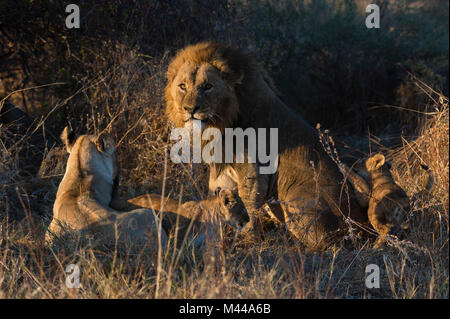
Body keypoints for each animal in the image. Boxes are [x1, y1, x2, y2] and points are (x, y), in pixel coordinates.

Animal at [165, 42, 366, 250]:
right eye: (182, 86)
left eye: (208, 86)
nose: (190, 109)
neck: (224, 121)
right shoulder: (222, 169)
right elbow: (218, 195)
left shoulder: (253, 168)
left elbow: (248, 201)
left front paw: (247, 241)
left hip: (297, 198)